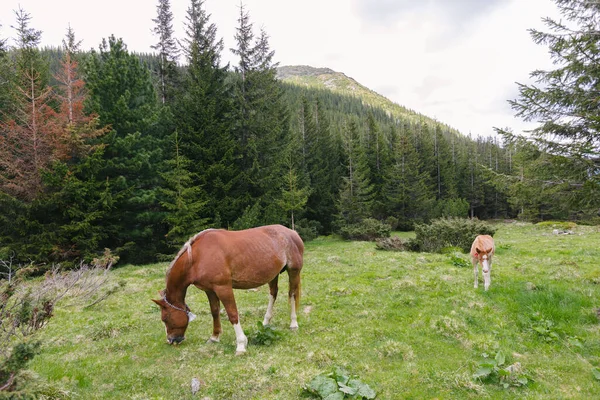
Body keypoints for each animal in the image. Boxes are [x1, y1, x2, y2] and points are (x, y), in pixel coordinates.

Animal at [154, 223, 304, 354]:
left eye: (165, 318)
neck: (198, 257)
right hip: (273, 275)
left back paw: (293, 323)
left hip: (294, 271)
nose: (171, 340)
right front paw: (214, 337)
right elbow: (215, 311)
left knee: (292, 294)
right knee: (273, 293)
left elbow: (232, 314)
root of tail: (292, 232)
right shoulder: (210, 290)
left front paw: (241, 345)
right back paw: (265, 323)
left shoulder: (223, 288)